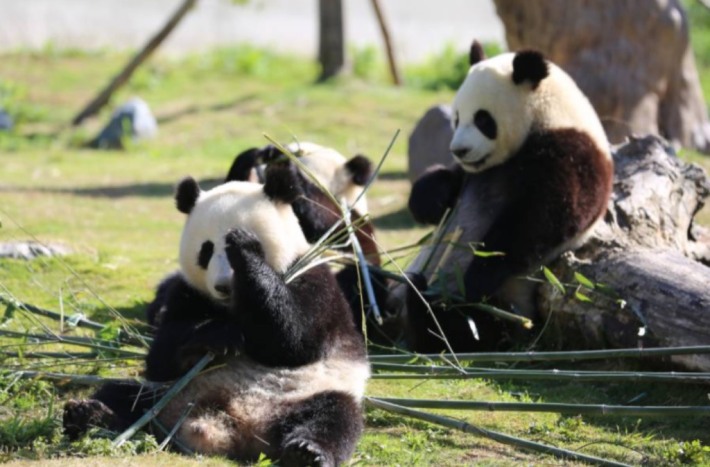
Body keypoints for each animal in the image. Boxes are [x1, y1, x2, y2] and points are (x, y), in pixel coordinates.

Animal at [64, 165, 370, 467]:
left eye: (255, 246)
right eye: (206, 250)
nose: (224, 286)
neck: (233, 305)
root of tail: (235, 428)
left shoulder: (316, 282)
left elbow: (296, 339)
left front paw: (245, 250)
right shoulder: (186, 293)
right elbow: (161, 355)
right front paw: (219, 336)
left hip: (308, 393)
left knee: (334, 417)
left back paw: (306, 451)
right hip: (169, 392)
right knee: (127, 394)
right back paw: (89, 415)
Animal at [405, 41, 614, 352]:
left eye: (483, 119)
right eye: (456, 118)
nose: (459, 150)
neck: (550, 116)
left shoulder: (574, 155)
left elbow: (539, 220)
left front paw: (477, 274)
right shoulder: (473, 173)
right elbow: (447, 183)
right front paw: (429, 199)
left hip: (508, 305)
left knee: (465, 329)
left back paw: (421, 301)